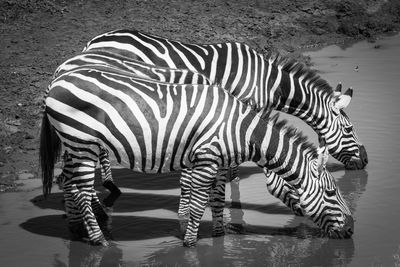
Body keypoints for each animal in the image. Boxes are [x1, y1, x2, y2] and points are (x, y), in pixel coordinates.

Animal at [39, 66, 354, 248]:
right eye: (331, 192)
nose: (352, 229)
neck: (242, 130)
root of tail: (58, 79)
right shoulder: (205, 160)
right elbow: (197, 204)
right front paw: (190, 244)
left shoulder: (217, 163)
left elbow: (216, 199)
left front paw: (218, 234)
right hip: (83, 142)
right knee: (80, 189)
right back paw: (99, 239)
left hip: (75, 145)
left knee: (68, 182)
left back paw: (77, 229)